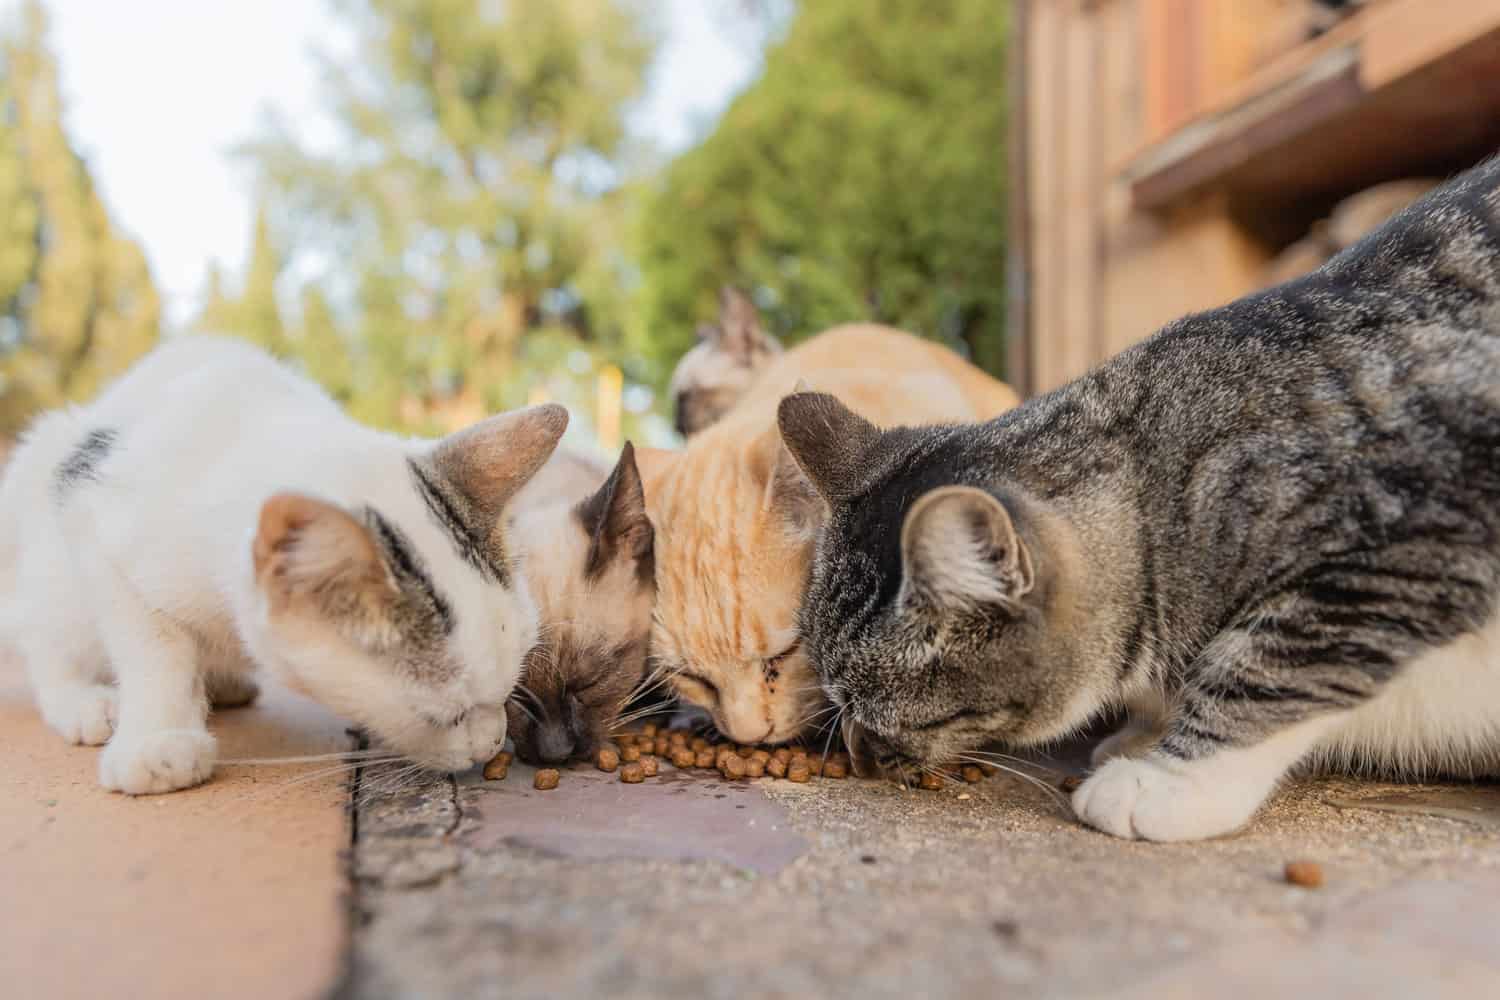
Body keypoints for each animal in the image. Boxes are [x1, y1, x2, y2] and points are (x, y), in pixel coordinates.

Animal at [1, 340, 564, 791]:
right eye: (445, 716)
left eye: (510, 687)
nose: (491, 743)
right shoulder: (94, 518)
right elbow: (154, 646)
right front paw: (160, 742)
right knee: (47, 636)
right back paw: (83, 701)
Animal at [780, 156, 1500, 839]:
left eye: (876, 717)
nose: (861, 758)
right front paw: (1146, 739)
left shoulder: (1408, 537)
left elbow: (1265, 664)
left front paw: (1170, 781)